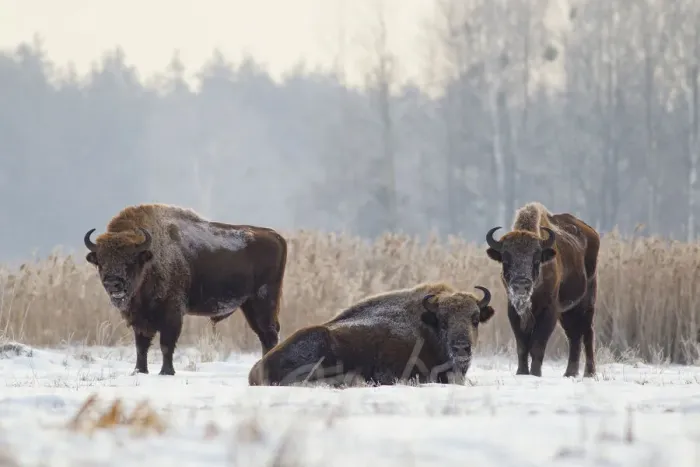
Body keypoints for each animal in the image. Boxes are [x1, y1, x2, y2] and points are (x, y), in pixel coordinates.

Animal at [83, 203, 287, 376]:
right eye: (101, 261)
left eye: (130, 260)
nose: (113, 283)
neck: (151, 259)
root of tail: (275, 236)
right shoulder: (139, 318)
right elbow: (141, 346)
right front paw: (139, 371)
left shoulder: (172, 312)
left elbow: (166, 344)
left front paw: (166, 372)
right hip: (249, 305)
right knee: (264, 335)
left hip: (263, 300)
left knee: (269, 333)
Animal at [485, 201, 600, 378]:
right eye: (505, 259)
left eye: (537, 259)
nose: (521, 285)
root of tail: (591, 233)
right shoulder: (514, 311)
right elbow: (522, 345)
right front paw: (521, 372)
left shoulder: (549, 310)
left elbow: (537, 345)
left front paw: (535, 373)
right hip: (567, 311)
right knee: (574, 336)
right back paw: (570, 373)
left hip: (587, 302)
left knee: (587, 333)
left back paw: (589, 373)